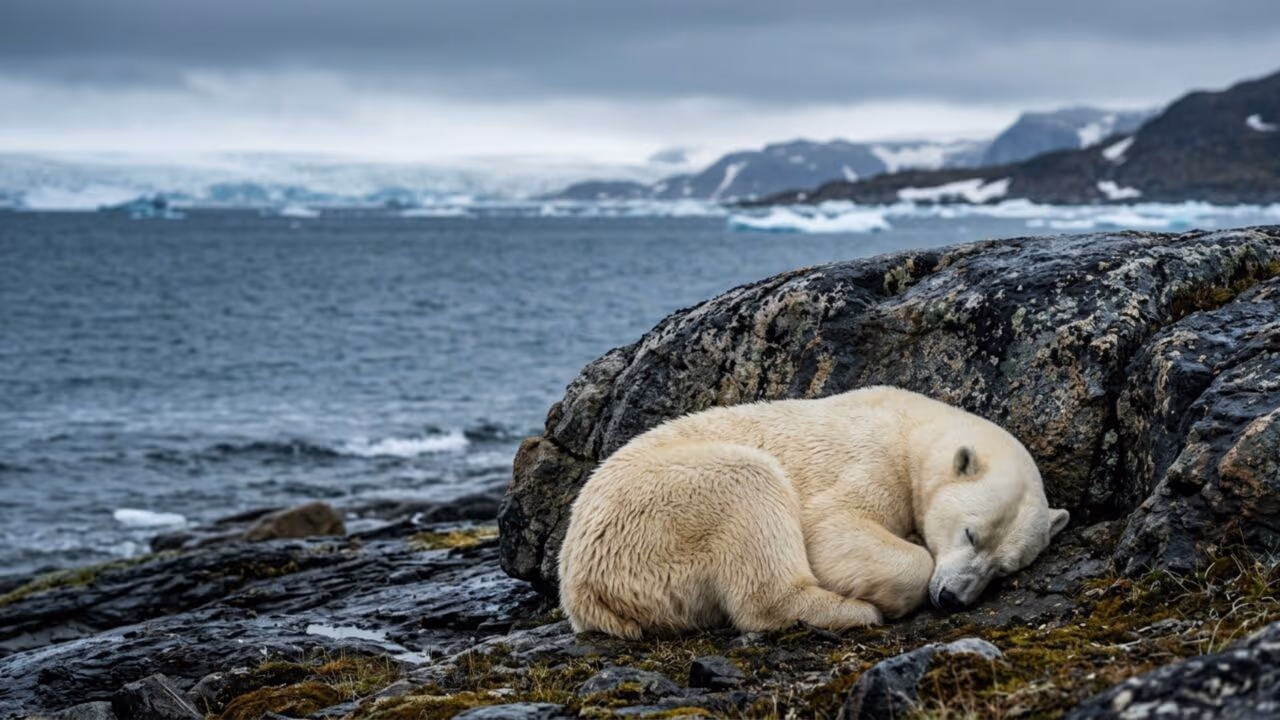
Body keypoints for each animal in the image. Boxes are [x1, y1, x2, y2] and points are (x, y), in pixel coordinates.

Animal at [557, 386, 1069, 639]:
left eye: (1005, 569)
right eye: (970, 534)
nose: (952, 598)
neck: (915, 429)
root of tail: (581, 590)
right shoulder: (871, 459)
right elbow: (830, 526)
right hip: (662, 509)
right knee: (749, 488)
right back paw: (855, 611)